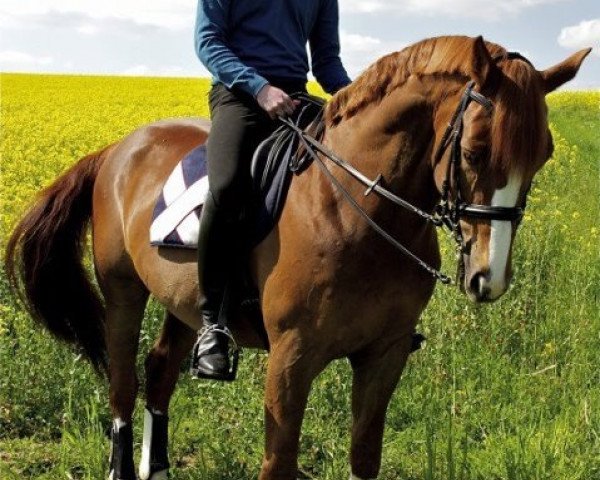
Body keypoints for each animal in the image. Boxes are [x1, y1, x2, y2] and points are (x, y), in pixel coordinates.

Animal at [5, 37, 592, 480]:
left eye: (544, 155)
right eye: (472, 152)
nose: (488, 278)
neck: (356, 211)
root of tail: (118, 150)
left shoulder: (385, 354)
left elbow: (364, 458)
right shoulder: (292, 358)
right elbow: (279, 463)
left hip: (183, 301)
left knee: (159, 371)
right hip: (124, 291)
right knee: (123, 383)